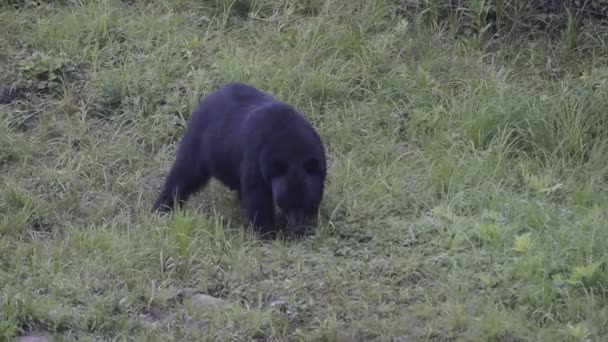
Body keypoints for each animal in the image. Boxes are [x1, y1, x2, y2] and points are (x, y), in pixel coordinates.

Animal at [152, 82, 328, 236]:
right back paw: (161, 209)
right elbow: (257, 196)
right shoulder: (256, 157)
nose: (298, 228)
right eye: (284, 202)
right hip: (200, 143)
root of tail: (207, 98)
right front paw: (267, 233)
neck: (291, 146)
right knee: (183, 174)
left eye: (307, 202)